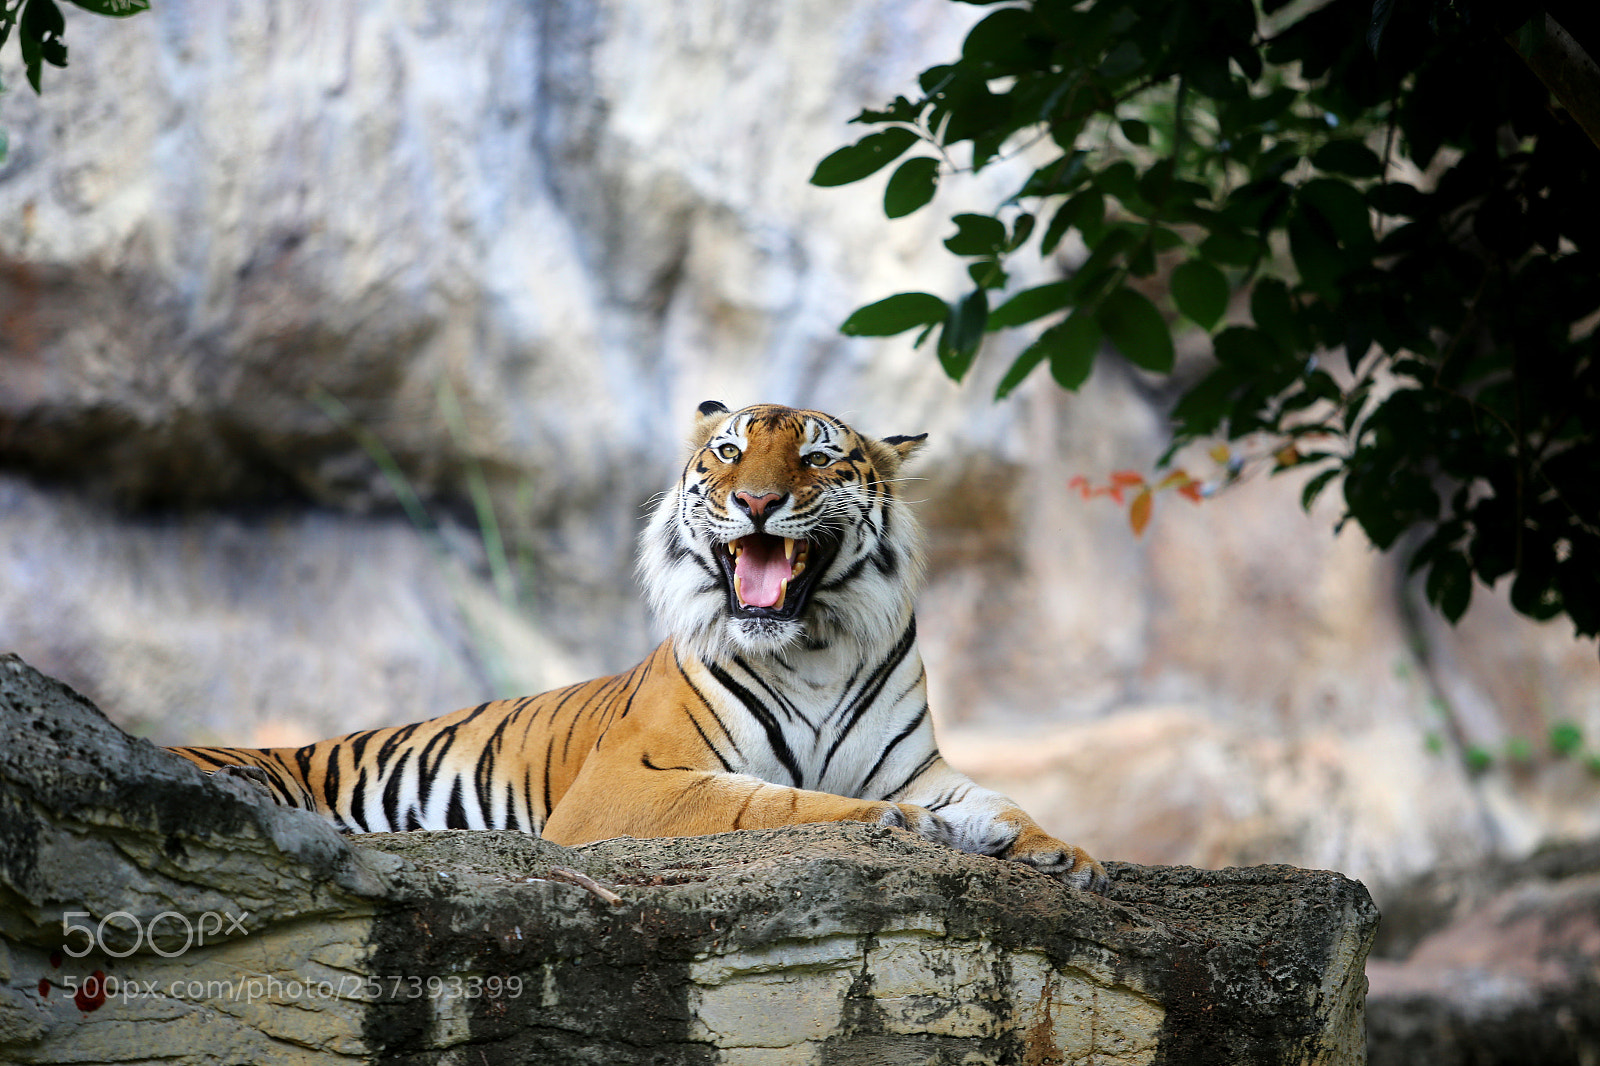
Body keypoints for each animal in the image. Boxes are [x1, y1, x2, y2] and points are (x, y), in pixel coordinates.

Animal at [169, 401, 1108, 891]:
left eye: (814, 459)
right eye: (729, 451)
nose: (757, 501)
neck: (813, 648)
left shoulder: (918, 765)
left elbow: (1000, 801)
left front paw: (1065, 851)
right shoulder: (628, 781)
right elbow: (771, 801)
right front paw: (908, 828)